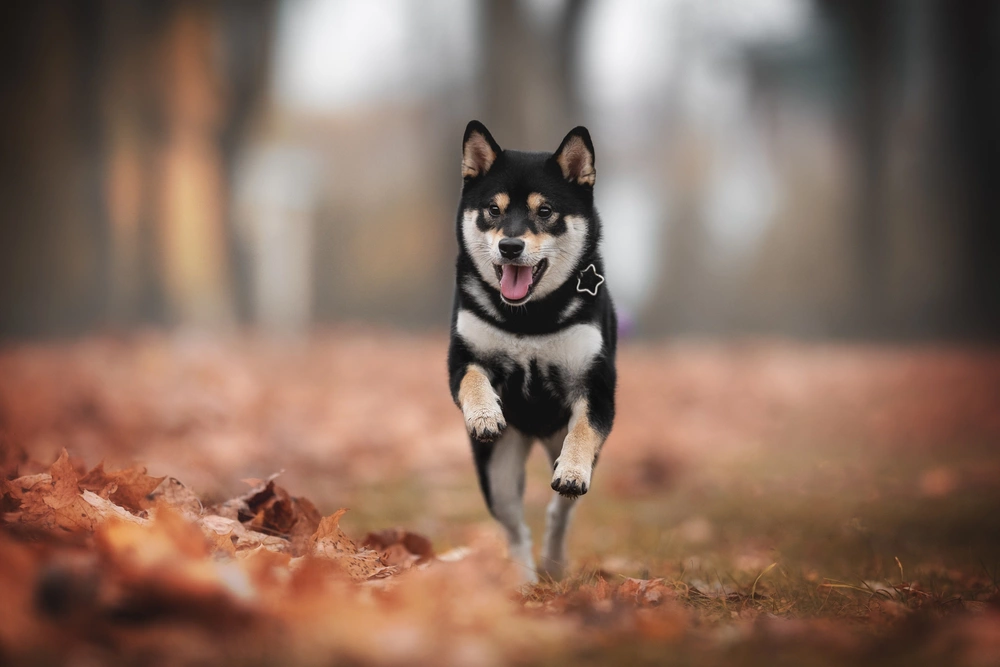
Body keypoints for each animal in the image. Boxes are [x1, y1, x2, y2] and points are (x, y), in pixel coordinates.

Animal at [448, 121, 616, 584]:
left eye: (545, 212)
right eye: (493, 209)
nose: (510, 246)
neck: (530, 318)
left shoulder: (596, 389)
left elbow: (584, 432)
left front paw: (572, 471)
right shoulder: (461, 360)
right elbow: (474, 379)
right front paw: (484, 413)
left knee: (560, 513)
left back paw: (555, 565)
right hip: (498, 472)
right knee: (515, 528)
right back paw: (523, 583)